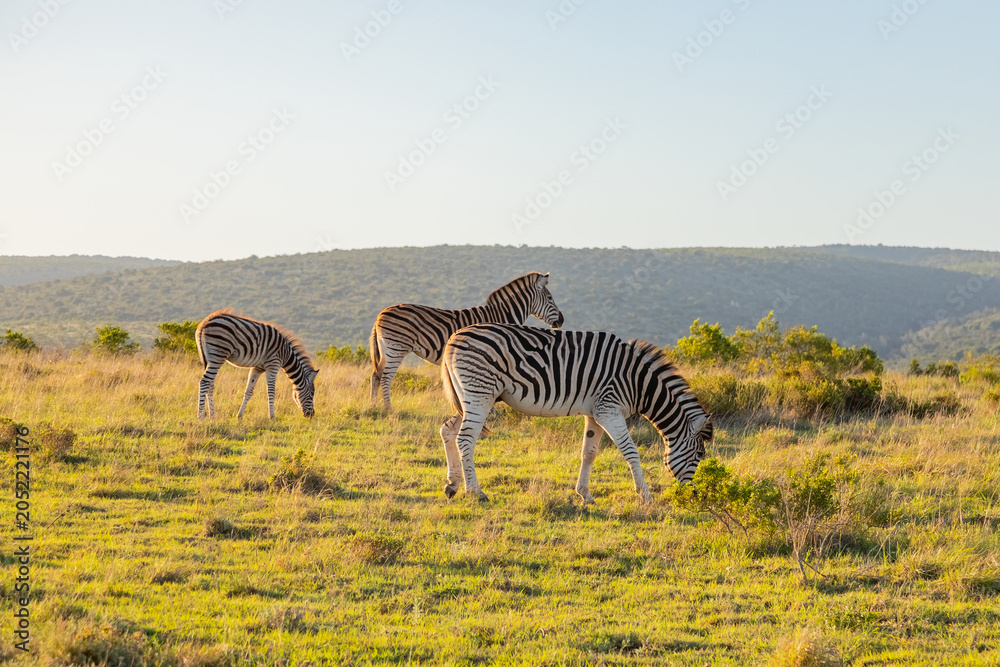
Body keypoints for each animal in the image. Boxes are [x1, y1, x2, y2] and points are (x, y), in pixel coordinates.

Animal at [369, 272, 564, 411]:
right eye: (550, 298)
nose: (561, 321)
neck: (502, 316)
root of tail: (380, 315)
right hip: (396, 348)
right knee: (386, 377)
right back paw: (388, 409)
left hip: (386, 349)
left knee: (376, 375)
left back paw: (373, 406)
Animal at [438, 324, 713, 504]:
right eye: (699, 455)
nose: (695, 496)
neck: (638, 383)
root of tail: (454, 337)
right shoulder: (609, 409)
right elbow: (631, 452)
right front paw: (645, 495)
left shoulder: (595, 413)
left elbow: (588, 453)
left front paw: (585, 494)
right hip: (480, 393)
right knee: (466, 439)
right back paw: (475, 492)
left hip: (473, 396)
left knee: (448, 430)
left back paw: (452, 485)